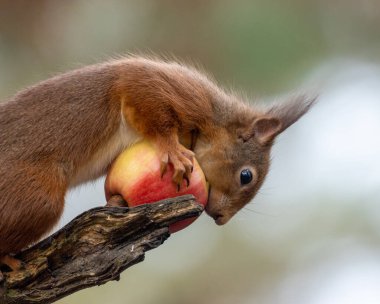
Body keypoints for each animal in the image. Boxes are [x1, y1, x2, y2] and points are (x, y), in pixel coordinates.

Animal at [0, 55, 314, 272]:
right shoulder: (166, 89)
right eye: (246, 176)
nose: (221, 218)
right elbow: (152, 111)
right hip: (36, 197)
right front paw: (172, 149)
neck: (212, 122)